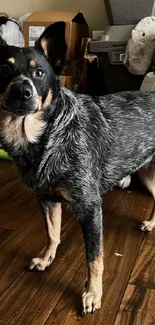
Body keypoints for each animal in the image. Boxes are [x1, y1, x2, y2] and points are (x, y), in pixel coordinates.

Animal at [0, 20, 155, 314]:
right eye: (4, 69)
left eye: (39, 72)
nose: (21, 92)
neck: (45, 138)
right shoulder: (47, 199)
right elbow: (53, 233)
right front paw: (46, 259)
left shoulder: (90, 207)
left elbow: (94, 258)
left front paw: (93, 294)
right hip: (147, 171)